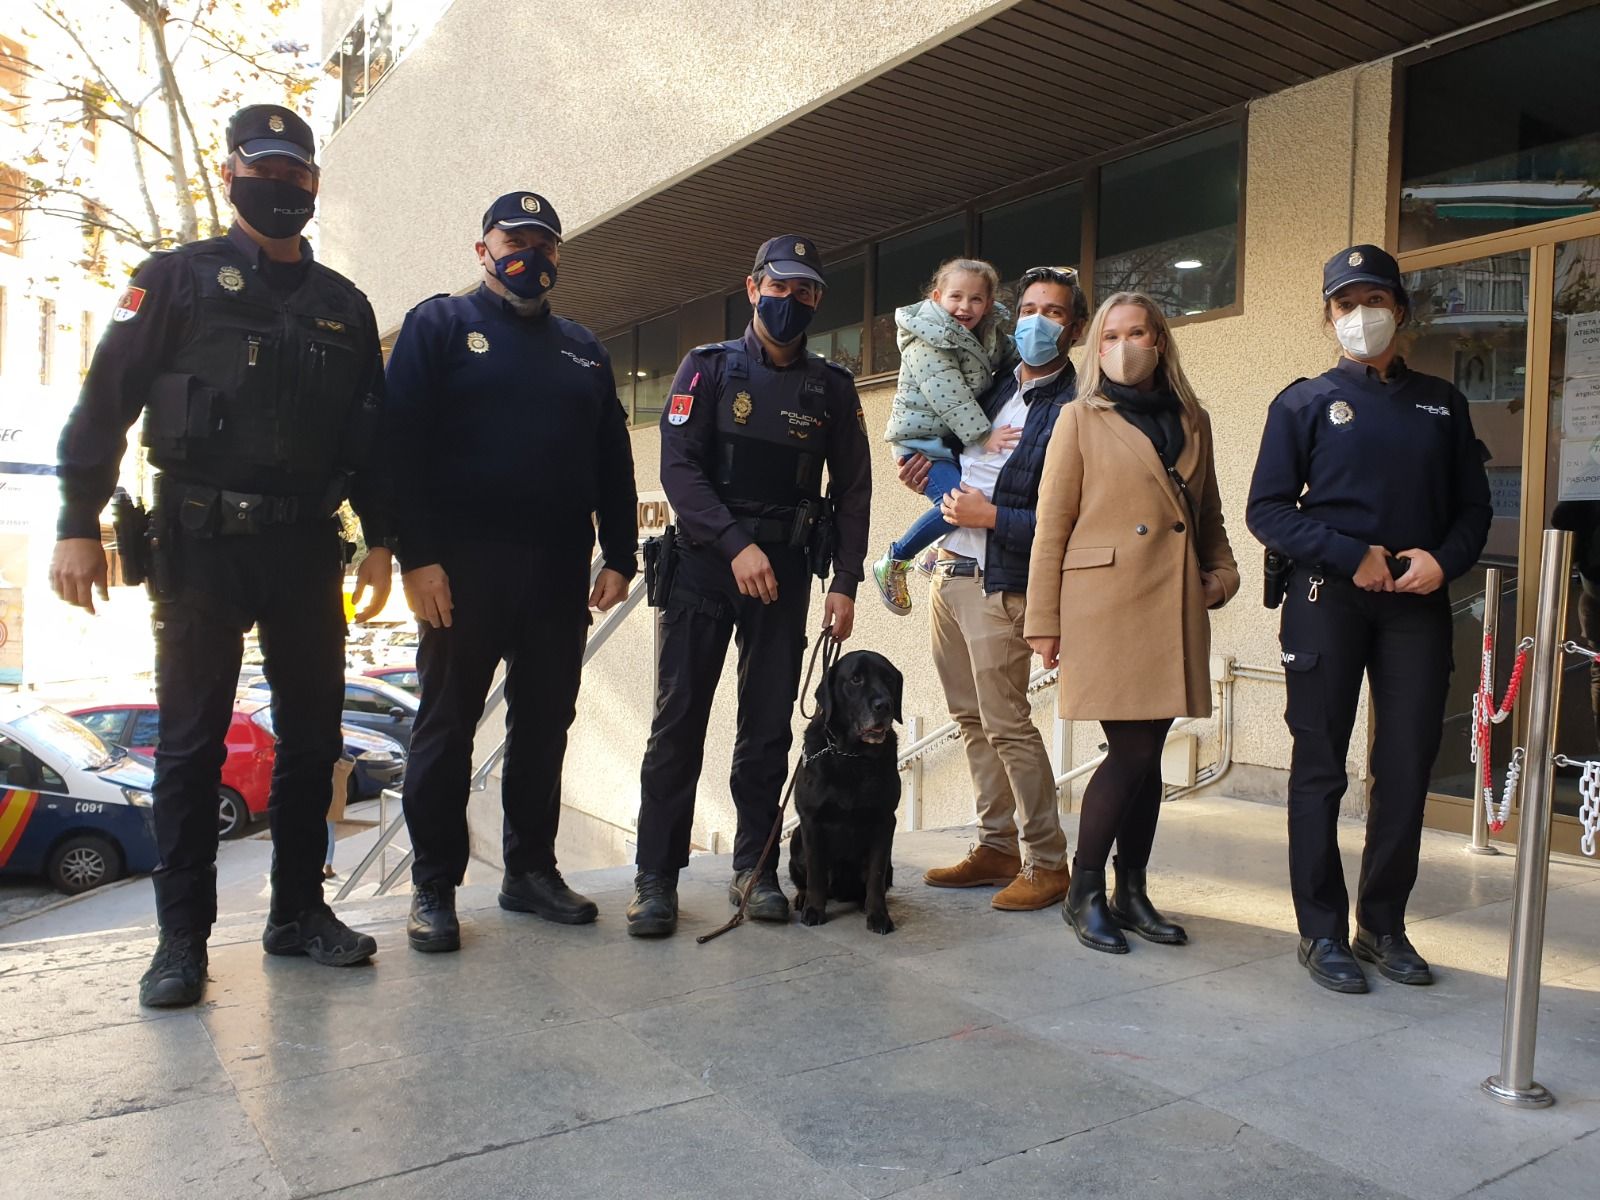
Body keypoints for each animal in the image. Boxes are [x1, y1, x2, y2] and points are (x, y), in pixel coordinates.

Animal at [787, 652, 902, 934]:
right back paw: (802, 897)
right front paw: (814, 909)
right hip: (796, 840)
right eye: (856, 679)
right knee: (804, 878)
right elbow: (816, 872)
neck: (853, 755)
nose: (885, 705)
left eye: (889, 679)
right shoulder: (811, 820)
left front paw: (878, 915)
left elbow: (875, 876)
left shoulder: (885, 820)